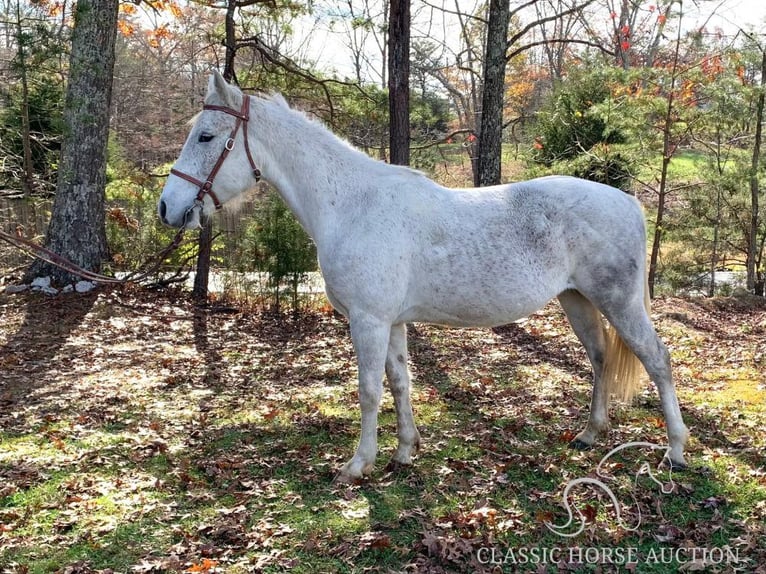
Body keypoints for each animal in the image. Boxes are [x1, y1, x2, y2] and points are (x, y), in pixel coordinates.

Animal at [159, 73, 692, 486]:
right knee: (600, 357)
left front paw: (358, 464)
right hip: (577, 300)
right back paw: (590, 433)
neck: (350, 204)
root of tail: (628, 202)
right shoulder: (392, 322)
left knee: (658, 360)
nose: (167, 208)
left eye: (206, 137)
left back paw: (676, 450)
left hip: (619, 301)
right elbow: (400, 382)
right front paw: (404, 451)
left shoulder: (368, 321)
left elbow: (369, 390)